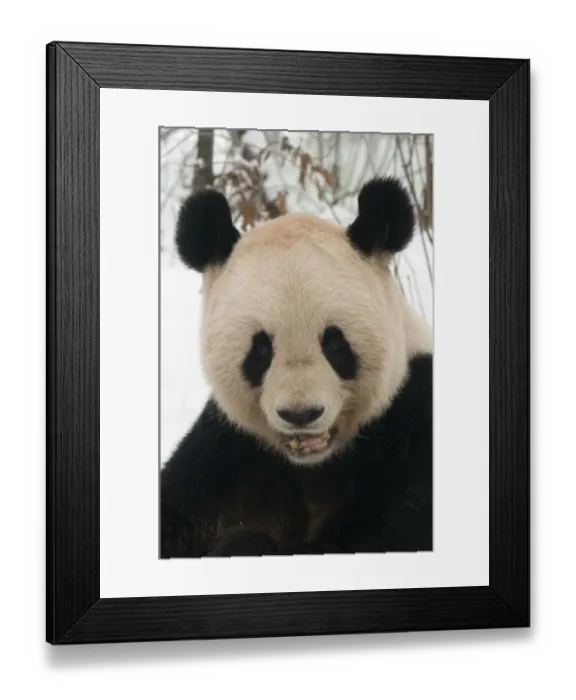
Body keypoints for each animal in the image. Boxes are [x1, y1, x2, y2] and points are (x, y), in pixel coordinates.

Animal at [160, 177, 433, 558]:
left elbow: (379, 532)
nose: (301, 414)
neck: (313, 465)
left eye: (333, 343)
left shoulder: (410, 428)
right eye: (261, 348)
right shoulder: (228, 454)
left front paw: (243, 542)